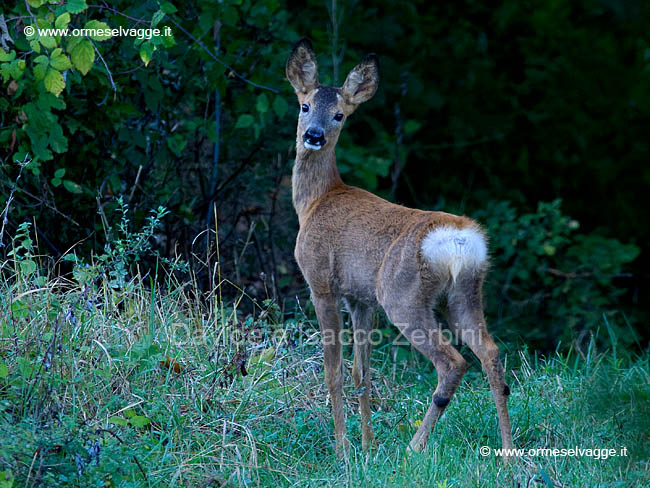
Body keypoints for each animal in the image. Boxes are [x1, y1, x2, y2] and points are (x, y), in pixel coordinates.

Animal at [284, 38, 512, 458]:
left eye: (340, 115)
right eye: (305, 106)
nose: (314, 135)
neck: (315, 202)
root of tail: (456, 238)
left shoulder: (321, 283)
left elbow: (334, 372)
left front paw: (343, 451)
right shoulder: (360, 298)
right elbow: (362, 373)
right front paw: (367, 446)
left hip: (402, 294)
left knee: (453, 362)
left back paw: (414, 448)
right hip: (465, 293)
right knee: (490, 353)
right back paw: (509, 455)